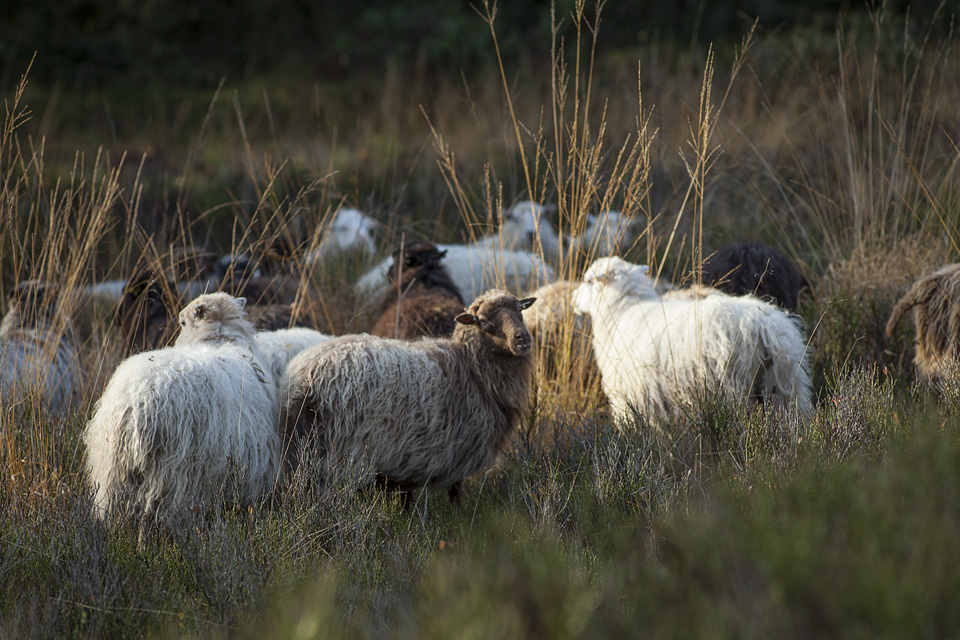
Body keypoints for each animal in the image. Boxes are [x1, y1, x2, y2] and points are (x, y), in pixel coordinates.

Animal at [282, 289, 537, 500]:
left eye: (520, 311)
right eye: (484, 322)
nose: (523, 338)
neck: (472, 369)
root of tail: (305, 377)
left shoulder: (408, 461)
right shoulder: (457, 451)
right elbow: (455, 495)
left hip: (307, 448)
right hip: (344, 453)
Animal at [571, 257, 813, 428]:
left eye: (588, 281)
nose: (573, 300)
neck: (621, 310)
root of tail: (765, 325)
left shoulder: (629, 396)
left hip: (733, 386)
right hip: (784, 385)